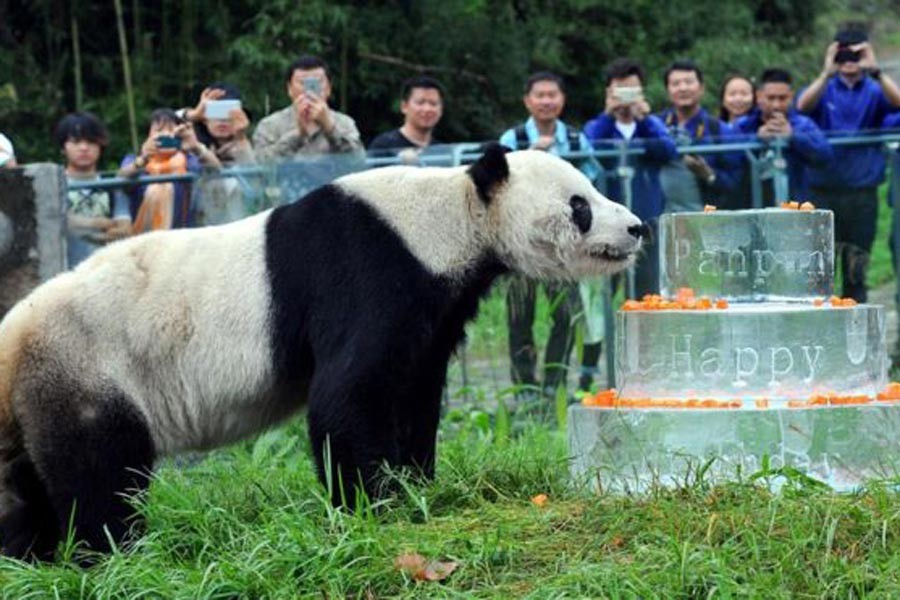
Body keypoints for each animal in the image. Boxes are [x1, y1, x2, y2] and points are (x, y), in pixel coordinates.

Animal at [0, 143, 644, 560]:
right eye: (580, 203)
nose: (636, 228)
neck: (454, 215)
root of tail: (11, 339)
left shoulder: (432, 305)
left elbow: (414, 390)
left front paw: (416, 483)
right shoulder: (368, 267)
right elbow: (350, 391)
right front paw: (373, 503)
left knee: (25, 486)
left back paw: (32, 556)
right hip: (87, 367)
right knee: (100, 469)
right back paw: (117, 550)